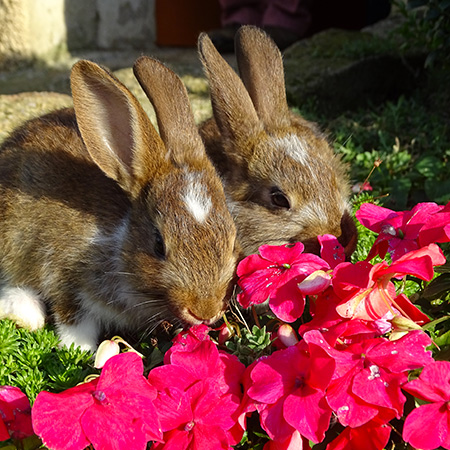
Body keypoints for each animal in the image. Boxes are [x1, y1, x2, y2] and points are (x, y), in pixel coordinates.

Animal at [0, 55, 239, 352]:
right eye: (158, 245)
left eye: (232, 241)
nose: (205, 311)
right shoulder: (63, 278)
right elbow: (74, 324)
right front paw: (82, 352)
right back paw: (25, 314)